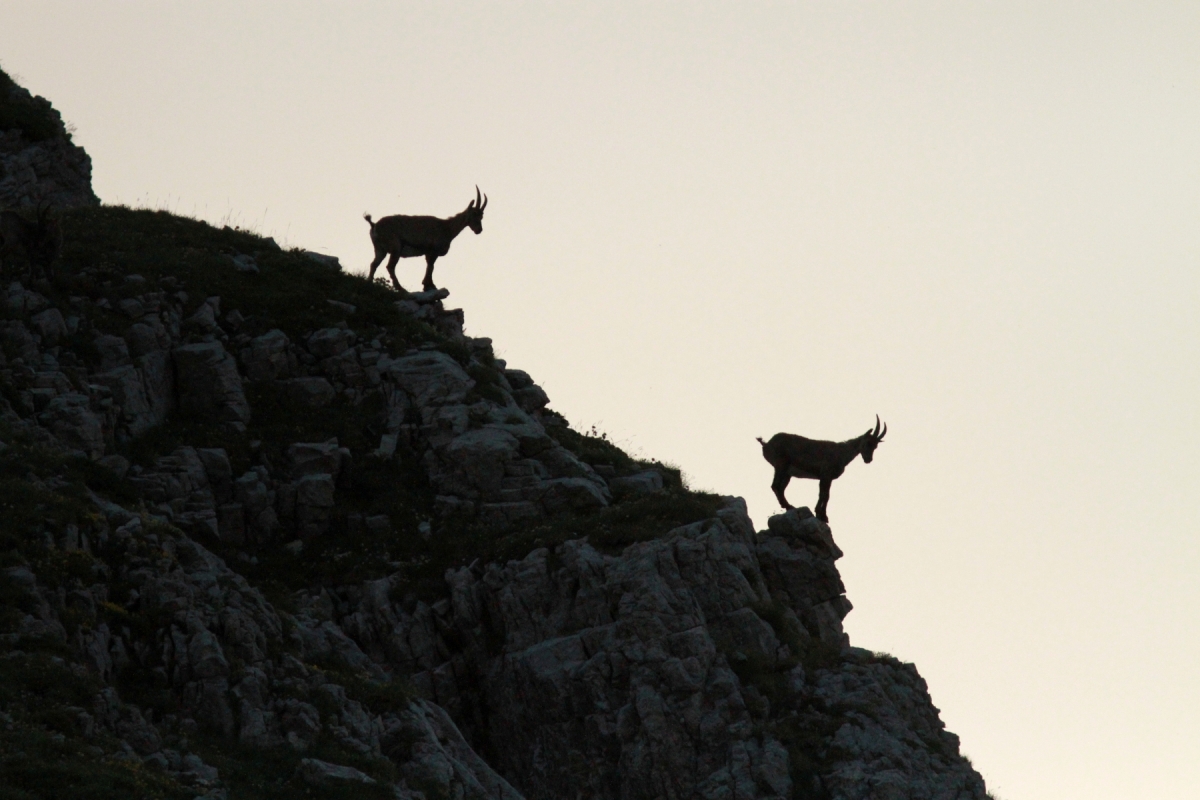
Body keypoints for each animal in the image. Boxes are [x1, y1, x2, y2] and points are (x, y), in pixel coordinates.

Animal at [757, 416, 887, 523]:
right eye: (867, 442)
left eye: (875, 446)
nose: (868, 459)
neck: (841, 453)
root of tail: (766, 444)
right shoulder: (825, 475)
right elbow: (824, 495)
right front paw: (822, 515)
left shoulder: (827, 478)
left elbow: (825, 495)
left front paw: (821, 514)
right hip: (781, 466)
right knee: (775, 486)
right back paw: (789, 506)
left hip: (787, 473)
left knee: (780, 488)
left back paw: (788, 506)